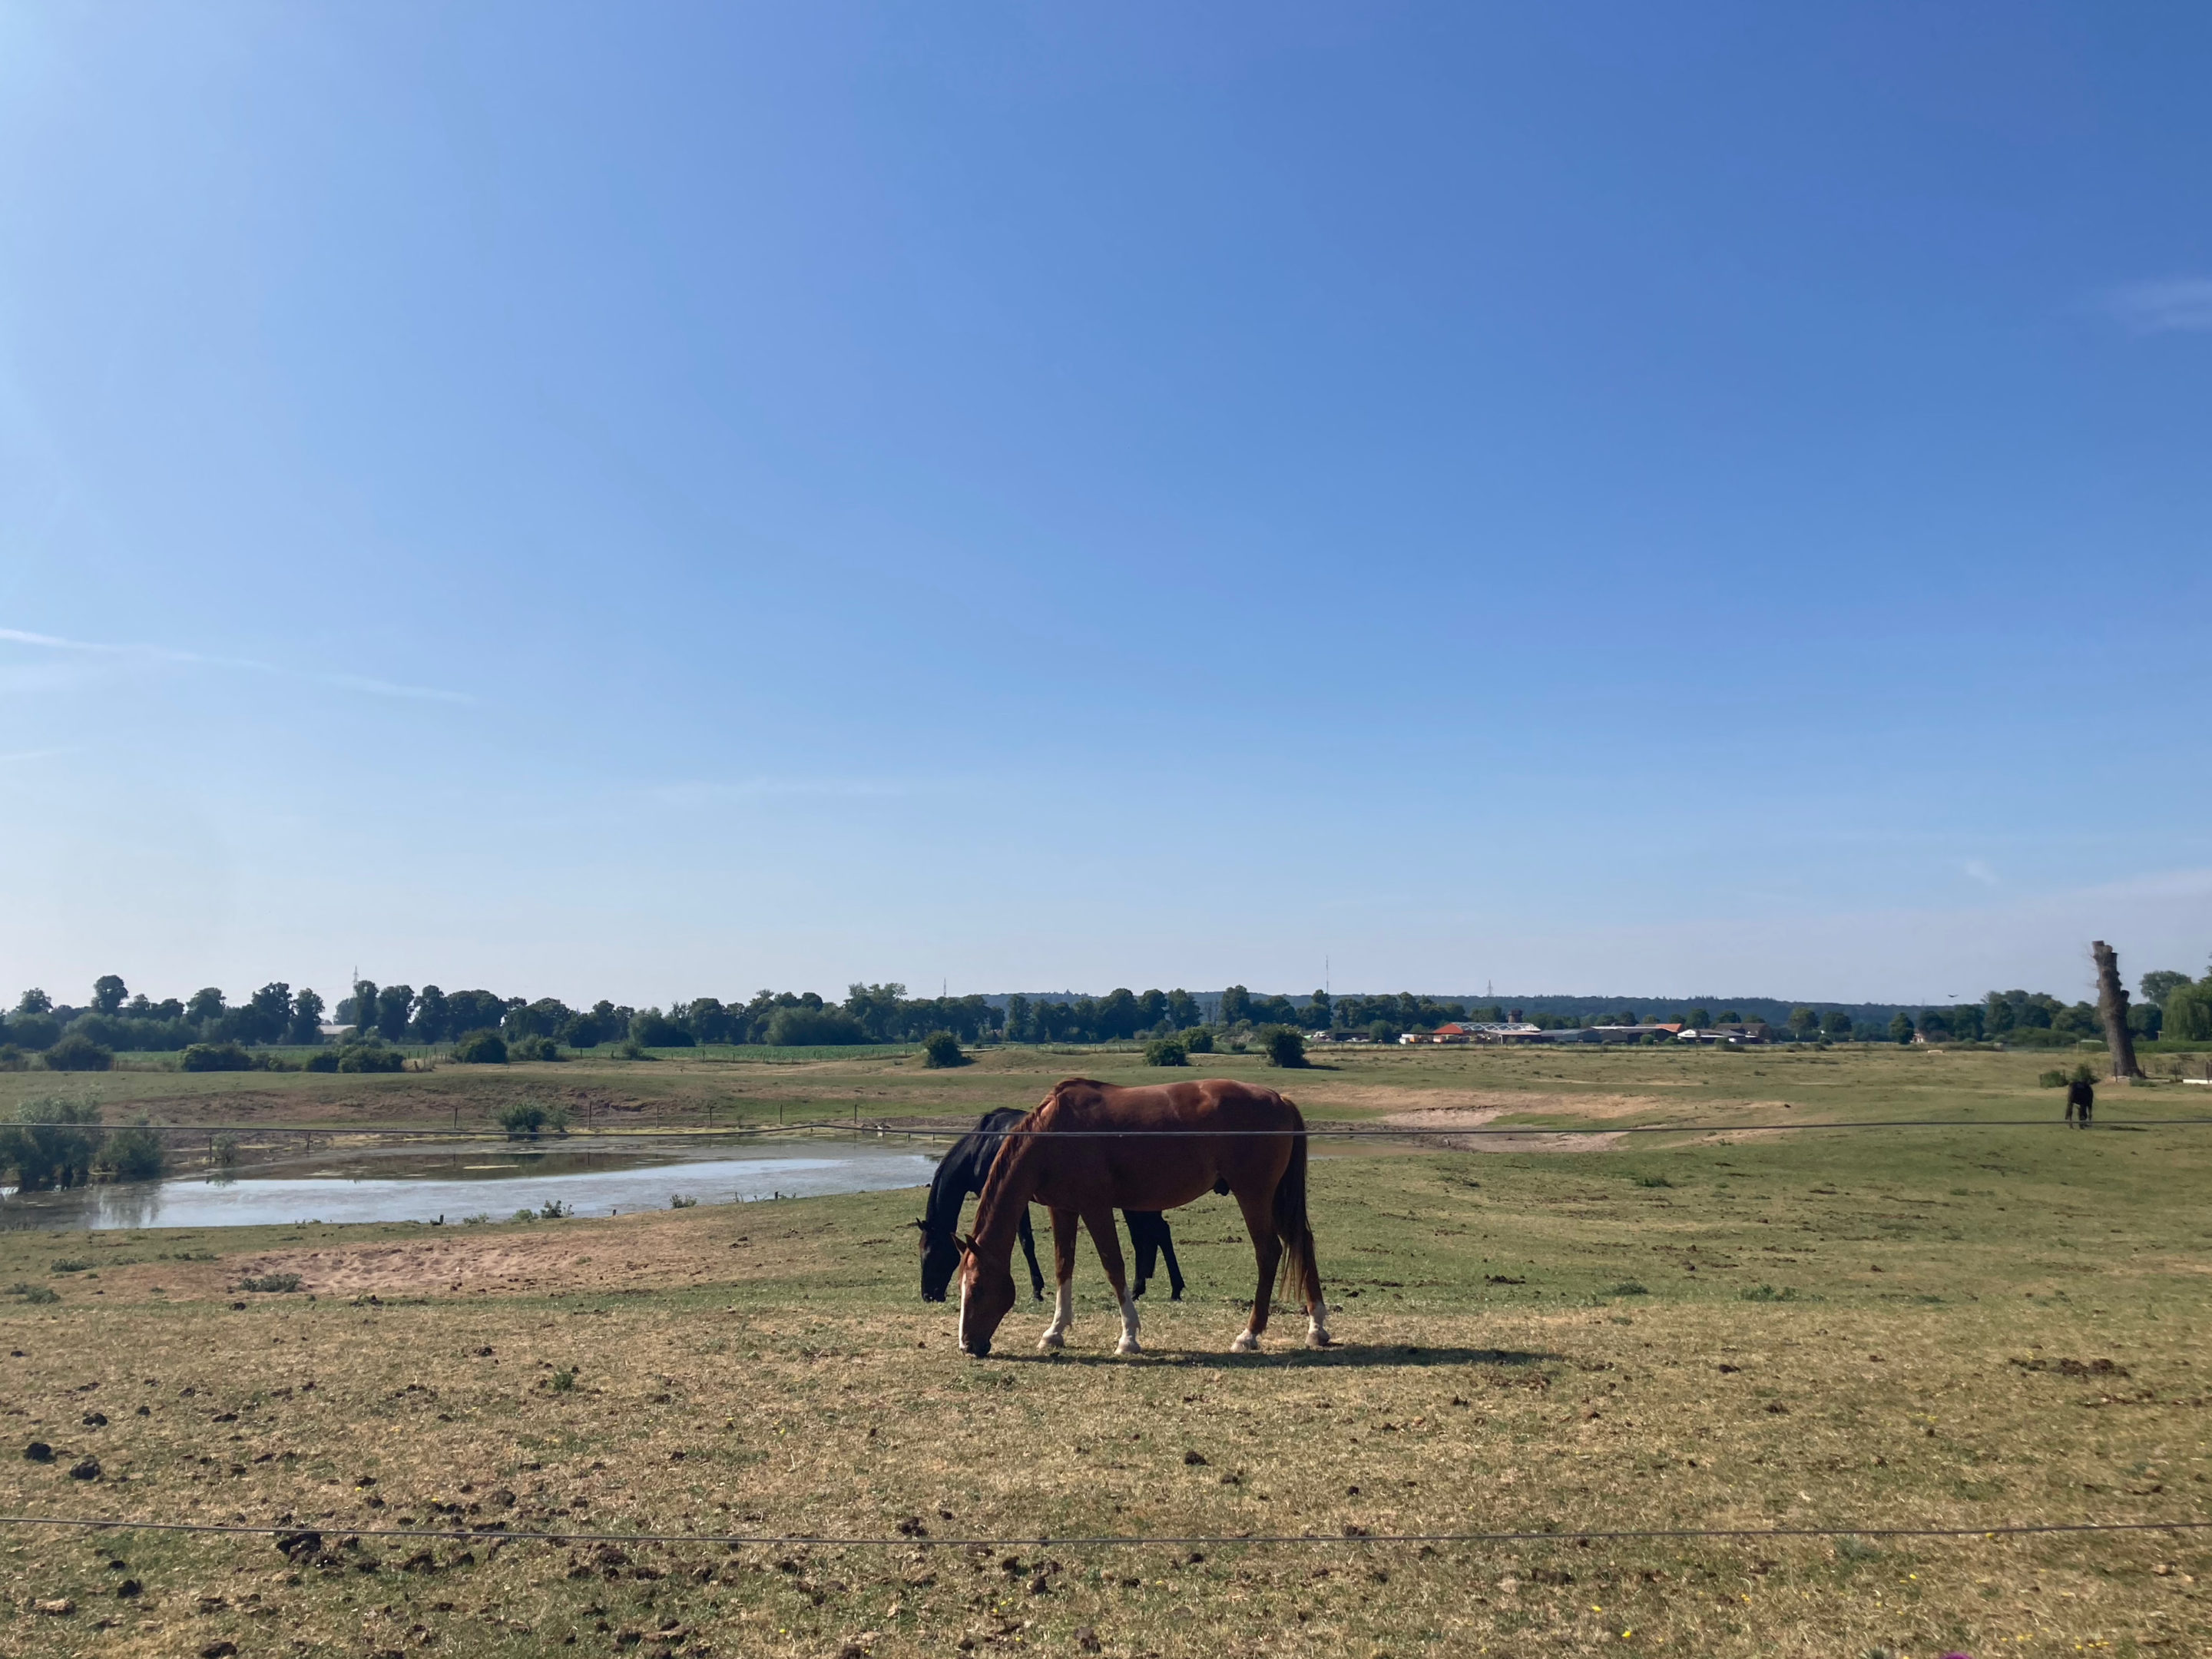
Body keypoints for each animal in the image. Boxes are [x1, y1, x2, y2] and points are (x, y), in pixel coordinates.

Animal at [916, 1108, 1193, 1303]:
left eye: (930, 1253)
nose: (928, 1295)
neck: (983, 1147)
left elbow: (1025, 1242)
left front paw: (1037, 1289)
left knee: (1158, 1233)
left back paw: (1171, 1288)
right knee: (1148, 1237)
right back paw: (1144, 1287)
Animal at [954, 1077, 1329, 1359]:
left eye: (977, 1287)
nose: (968, 1346)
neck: (1056, 1133)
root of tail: (1279, 1099)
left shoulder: (1096, 1207)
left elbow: (1113, 1266)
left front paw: (1129, 1337)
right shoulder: (1062, 1208)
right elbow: (1063, 1267)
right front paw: (1054, 1332)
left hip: (1254, 1195)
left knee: (1269, 1252)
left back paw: (1249, 1334)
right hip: (1277, 1199)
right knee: (1303, 1241)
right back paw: (1317, 1328)